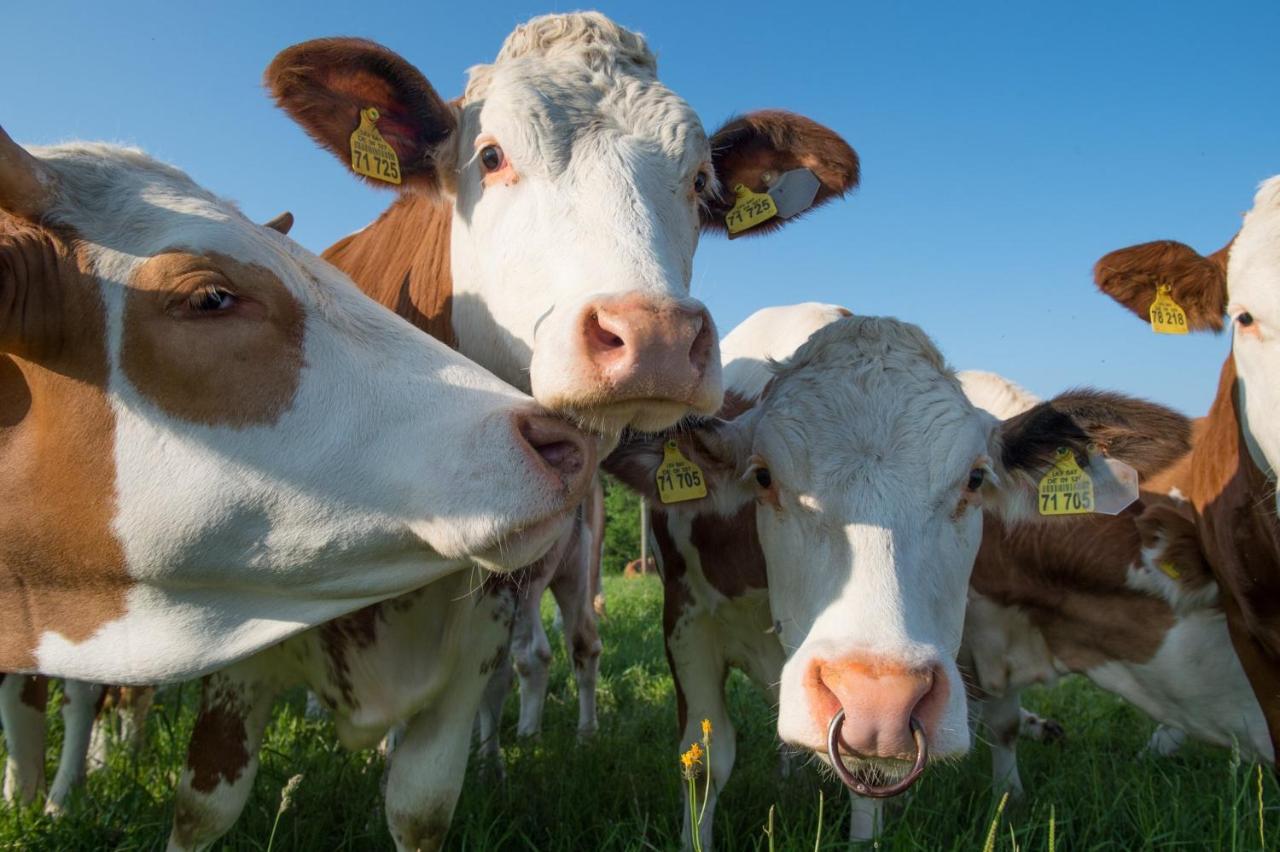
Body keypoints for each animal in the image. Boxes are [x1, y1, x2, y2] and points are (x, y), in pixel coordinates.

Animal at [165, 13, 855, 849]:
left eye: (700, 185)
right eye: (491, 156)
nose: (655, 337)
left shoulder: (477, 629)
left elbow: (422, 800)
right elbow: (204, 808)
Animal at [601, 303, 1187, 844]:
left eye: (976, 479)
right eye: (763, 477)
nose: (878, 700)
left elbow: (870, 786)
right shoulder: (686, 620)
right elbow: (705, 761)